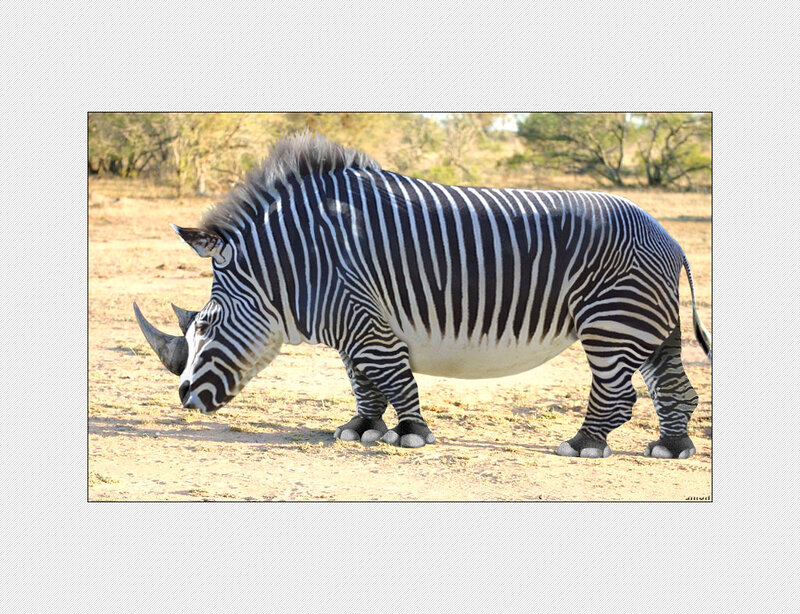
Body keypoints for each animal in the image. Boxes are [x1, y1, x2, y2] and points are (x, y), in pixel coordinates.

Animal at [134, 132, 711, 458]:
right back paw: (672, 447)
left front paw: (410, 433)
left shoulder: (362, 316)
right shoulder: (354, 326)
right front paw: (361, 429)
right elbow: (363, 382)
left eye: (205, 325)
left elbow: (391, 376)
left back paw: (584, 444)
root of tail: (671, 238)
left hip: (612, 322)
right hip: (652, 326)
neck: (295, 265)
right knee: (676, 388)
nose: (183, 401)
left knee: (618, 393)